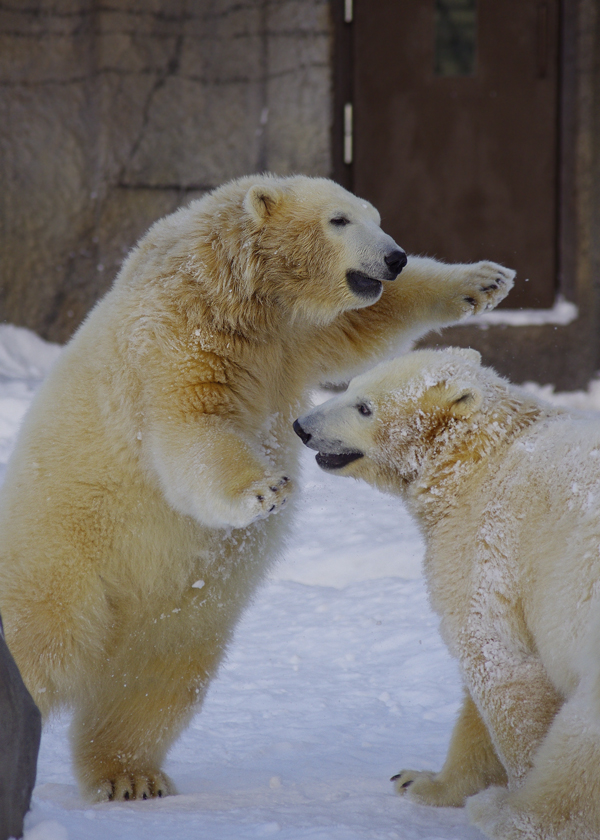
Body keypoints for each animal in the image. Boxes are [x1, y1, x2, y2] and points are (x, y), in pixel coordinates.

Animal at [1, 172, 516, 800]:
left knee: (153, 681)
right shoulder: (176, 339)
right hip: (64, 551)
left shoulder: (293, 340)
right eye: (339, 219)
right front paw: (264, 491)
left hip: (180, 609)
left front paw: (485, 279)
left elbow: (364, 324)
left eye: (374, 216)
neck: (235, 294)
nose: (394, 256)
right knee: (42, 639)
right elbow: (196, 429)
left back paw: (130, 775)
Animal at [296, 348, 600, 840]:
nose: (301, 426)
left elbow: (496, 662)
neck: (479, 453)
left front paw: (503, 788)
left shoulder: (485, 541)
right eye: (351, 386)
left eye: (364, 407)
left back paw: (508, 814)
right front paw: (420, 780)